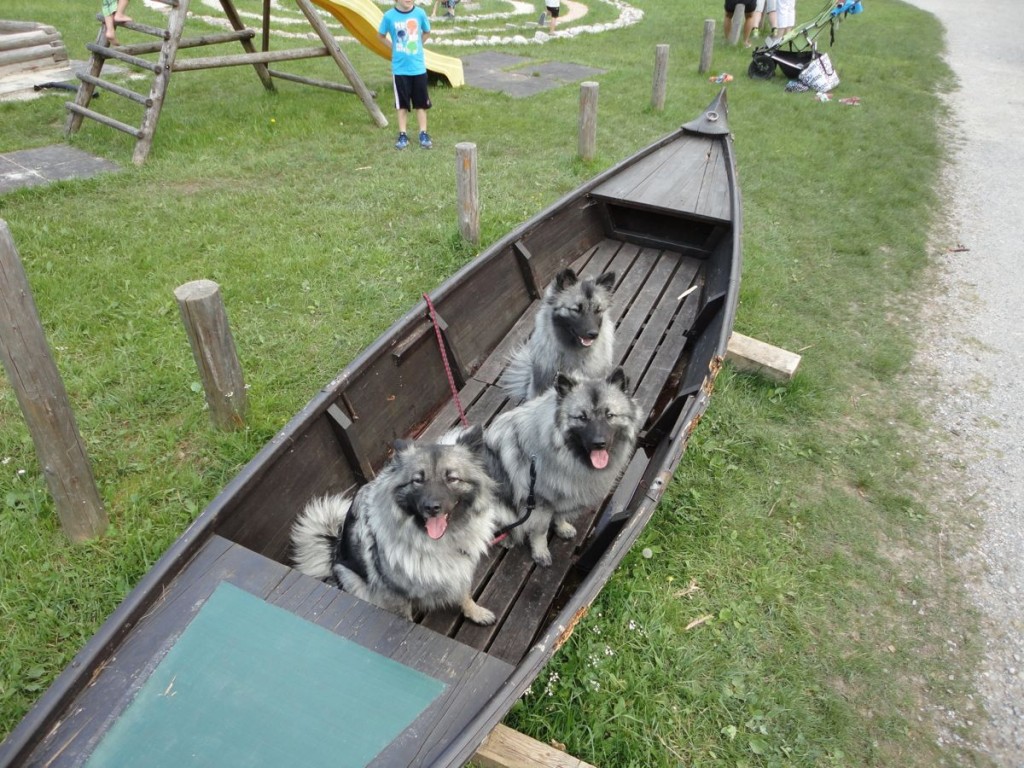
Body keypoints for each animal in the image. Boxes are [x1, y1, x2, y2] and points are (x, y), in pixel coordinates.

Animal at [292, 428, 503, 626]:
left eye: (452, 479)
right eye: (418, 480)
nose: (432, 507)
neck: (438, 543)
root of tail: (335, 546)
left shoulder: (461, 570)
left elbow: (465, 594)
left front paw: (475, 612)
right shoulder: (395, 594)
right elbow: (404, 620)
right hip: (351, 578)